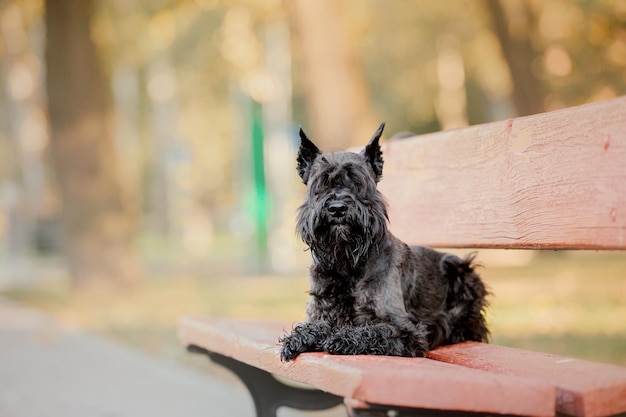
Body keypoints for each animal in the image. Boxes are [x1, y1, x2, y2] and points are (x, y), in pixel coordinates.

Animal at [278, 122, 488, 360]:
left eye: (359, 183)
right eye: (320, 185)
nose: (337, 208)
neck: (347, 262)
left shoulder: (405, 330)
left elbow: (370, 331)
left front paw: (341, 338)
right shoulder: (322, 310)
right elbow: (316, 325)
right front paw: (299, 338)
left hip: (461, 271)